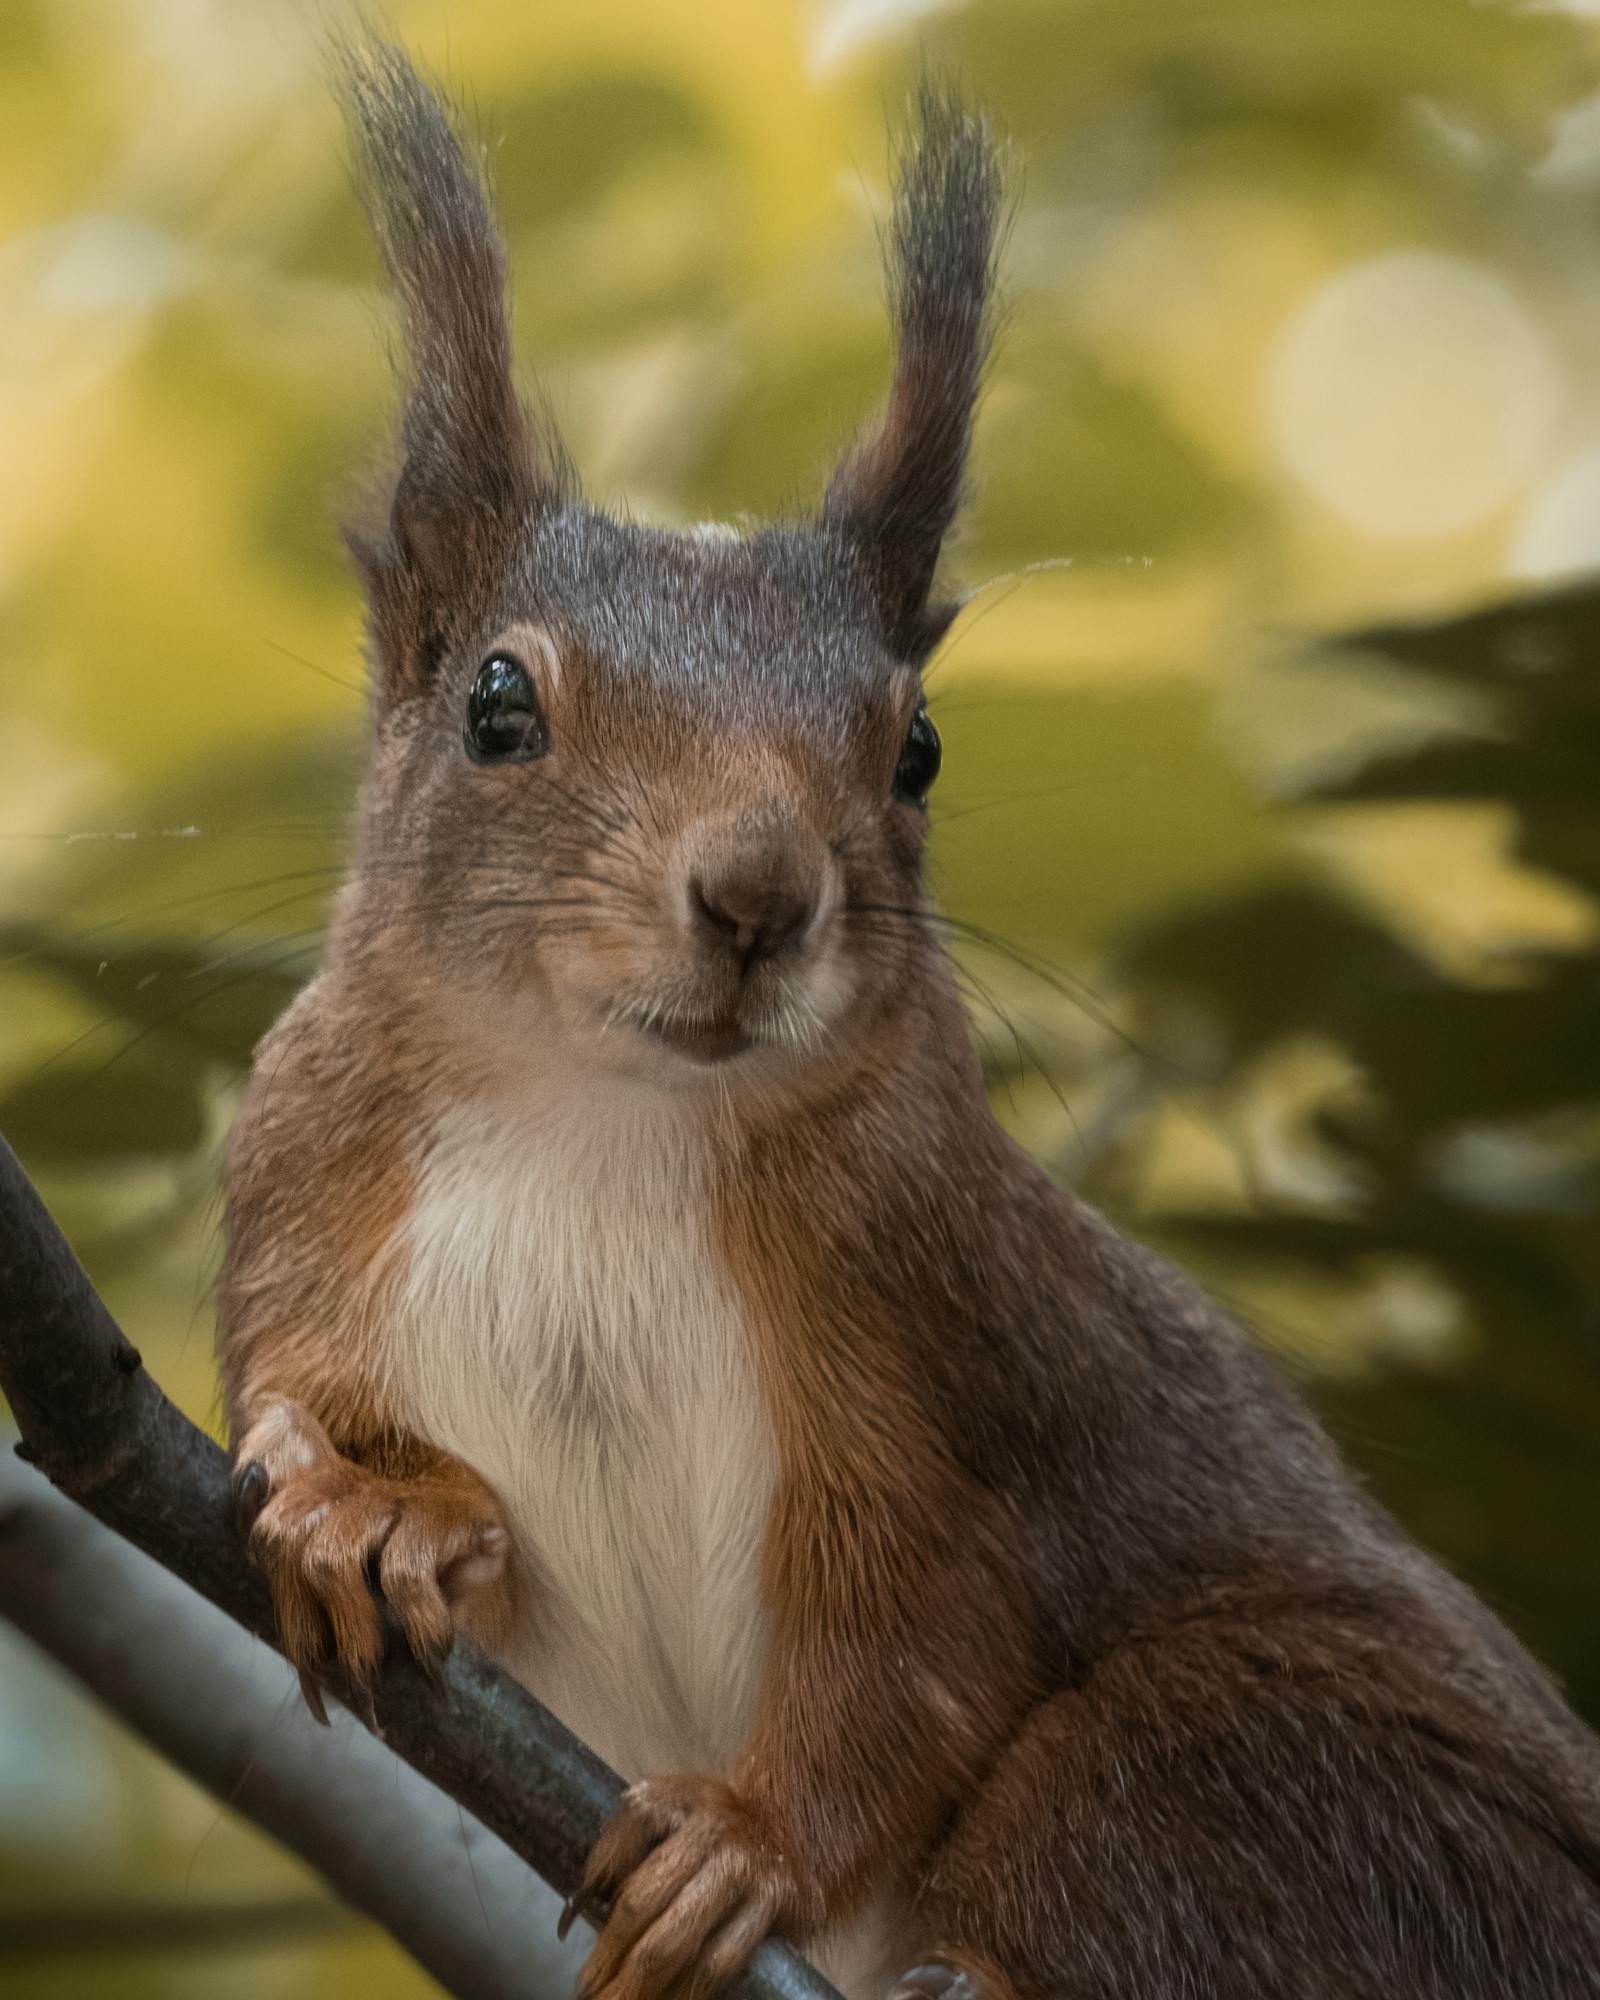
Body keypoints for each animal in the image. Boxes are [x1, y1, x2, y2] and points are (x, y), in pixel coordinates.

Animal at [219, 31, 1600, 2000]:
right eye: (497, 706)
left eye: (919, 750)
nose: (757, 896)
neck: (599, 1116)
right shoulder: (305, 1174)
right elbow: (305, 1399)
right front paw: (369, 1506)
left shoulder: (942, 1337)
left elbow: (920, 1652)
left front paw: (748, 1844)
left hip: (1289, 1775)